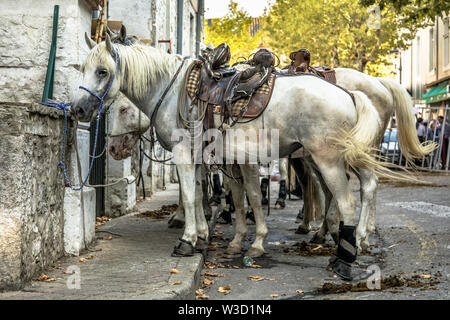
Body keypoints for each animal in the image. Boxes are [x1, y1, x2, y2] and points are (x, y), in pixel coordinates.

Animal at [73, 35, 414, 280]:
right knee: (359, 187)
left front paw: (188, 240)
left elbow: (191, 195)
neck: (173, 91)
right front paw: (207, 235)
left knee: (347, 200)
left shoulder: (186, 154)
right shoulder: (214, 159)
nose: (78, 110)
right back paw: (345, 239)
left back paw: (345, 256)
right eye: (82, 69)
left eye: (103, 72)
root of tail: (350, 94)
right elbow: (216, 195)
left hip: (328, 159)